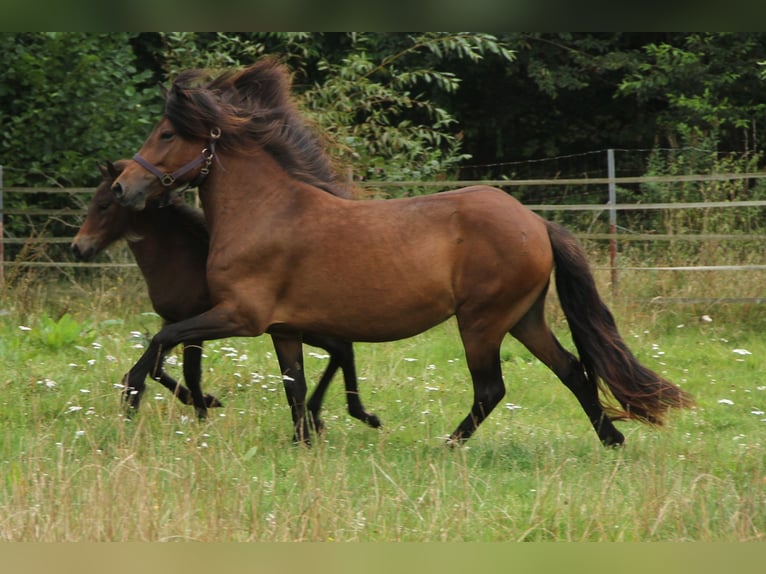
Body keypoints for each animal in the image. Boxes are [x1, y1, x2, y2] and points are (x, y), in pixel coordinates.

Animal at [73, 160, 380, 430]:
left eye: (103, 205)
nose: (79, 248)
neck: (180, 257)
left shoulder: (193, 326)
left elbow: (189, 372)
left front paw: (203, 411)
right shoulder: (172, 321)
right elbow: (158, 367)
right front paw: (205, 405)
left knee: (341, 348)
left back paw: (352, 415)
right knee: (340, 349)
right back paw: (333, 415)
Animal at [109, 58, 696, 448]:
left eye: (166, 133)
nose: (122, 187)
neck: (267, 211)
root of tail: (534, 222)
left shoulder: (240, 316)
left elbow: (162, 338)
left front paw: (134, 398)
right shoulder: (283, 329)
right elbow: (296, 386)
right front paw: (304, 441)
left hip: (482, 321)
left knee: (491, 387)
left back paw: (449, 445)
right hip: (523, 318)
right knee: (573, 370)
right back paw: (611, 440)